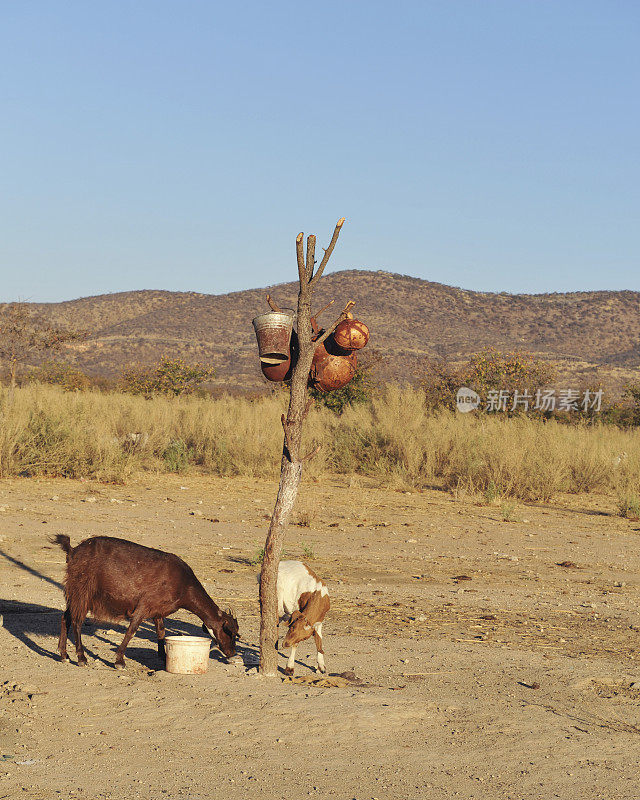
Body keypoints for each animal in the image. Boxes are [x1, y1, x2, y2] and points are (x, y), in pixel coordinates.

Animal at [51, 536, 238, 668]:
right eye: (230, 632)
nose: (232, 653)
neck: (184, 585)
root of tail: (73, 551)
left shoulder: (158, 610)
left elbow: (161, 632)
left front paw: (163, 656)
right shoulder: (144, 606)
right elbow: (132, 631)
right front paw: (119, 661)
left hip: (77, 594)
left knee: (65, 617)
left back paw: (63, 655)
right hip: (82, 591)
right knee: (77, 621)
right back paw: (81, 658)